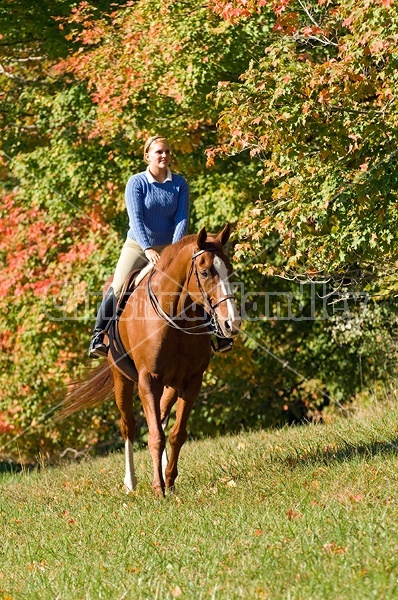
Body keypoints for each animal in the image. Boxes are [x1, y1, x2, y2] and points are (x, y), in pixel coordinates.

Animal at [61, 225, 241, 496]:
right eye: (205, 272)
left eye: (229, 270)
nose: (231, 323)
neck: (176, 318)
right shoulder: (148, 380)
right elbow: (154, 435)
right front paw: (158, 488)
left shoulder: (192, 382)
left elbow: (176, 433)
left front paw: (169, 479)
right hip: (122, 380)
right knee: (128, 426)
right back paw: (130, 482)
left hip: (171, 385)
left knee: (163, 419)